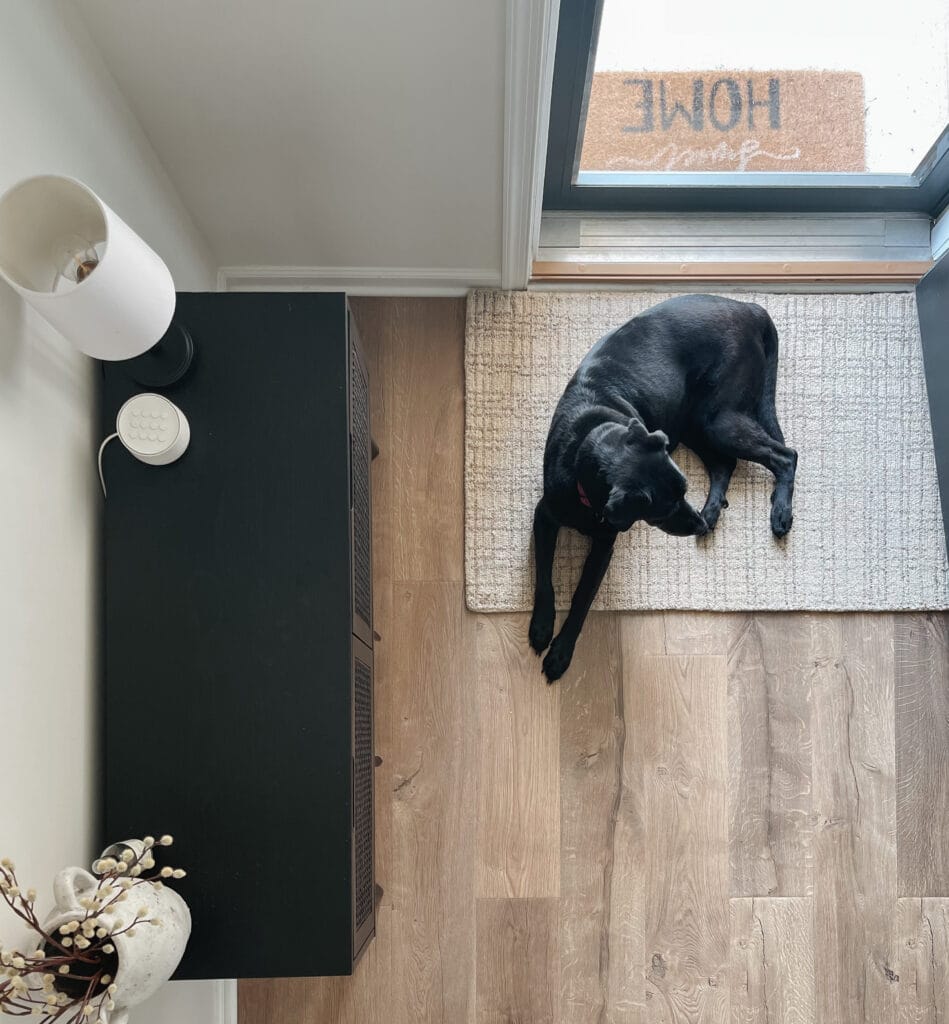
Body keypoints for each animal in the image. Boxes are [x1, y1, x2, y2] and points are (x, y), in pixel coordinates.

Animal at [532, 294, 798, 679]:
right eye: (663, 509)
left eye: (683, 492)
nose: (696, 524)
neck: (591, 443)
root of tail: (750, 308)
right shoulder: (544, 515)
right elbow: (544, 573)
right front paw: (540, 626)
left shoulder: (604, 544)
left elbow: (582, 598)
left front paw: (561, 653)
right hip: (696, 421)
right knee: (726, 464)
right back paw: (713, 512)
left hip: (715, 417)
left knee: (785, 455)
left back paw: (778, 513)